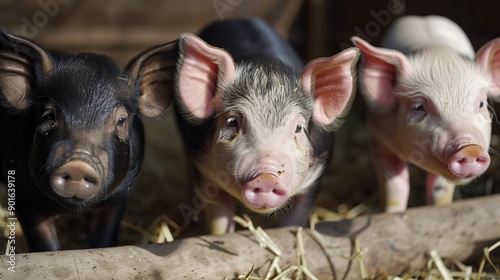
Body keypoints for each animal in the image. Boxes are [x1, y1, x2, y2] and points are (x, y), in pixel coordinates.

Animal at [352, 15, 500, 211]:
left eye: (481, 103)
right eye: (418, 107)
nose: (471, 148)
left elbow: (439, 190)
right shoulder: (379, 140)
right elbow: (394, 187)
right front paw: (391, 213)